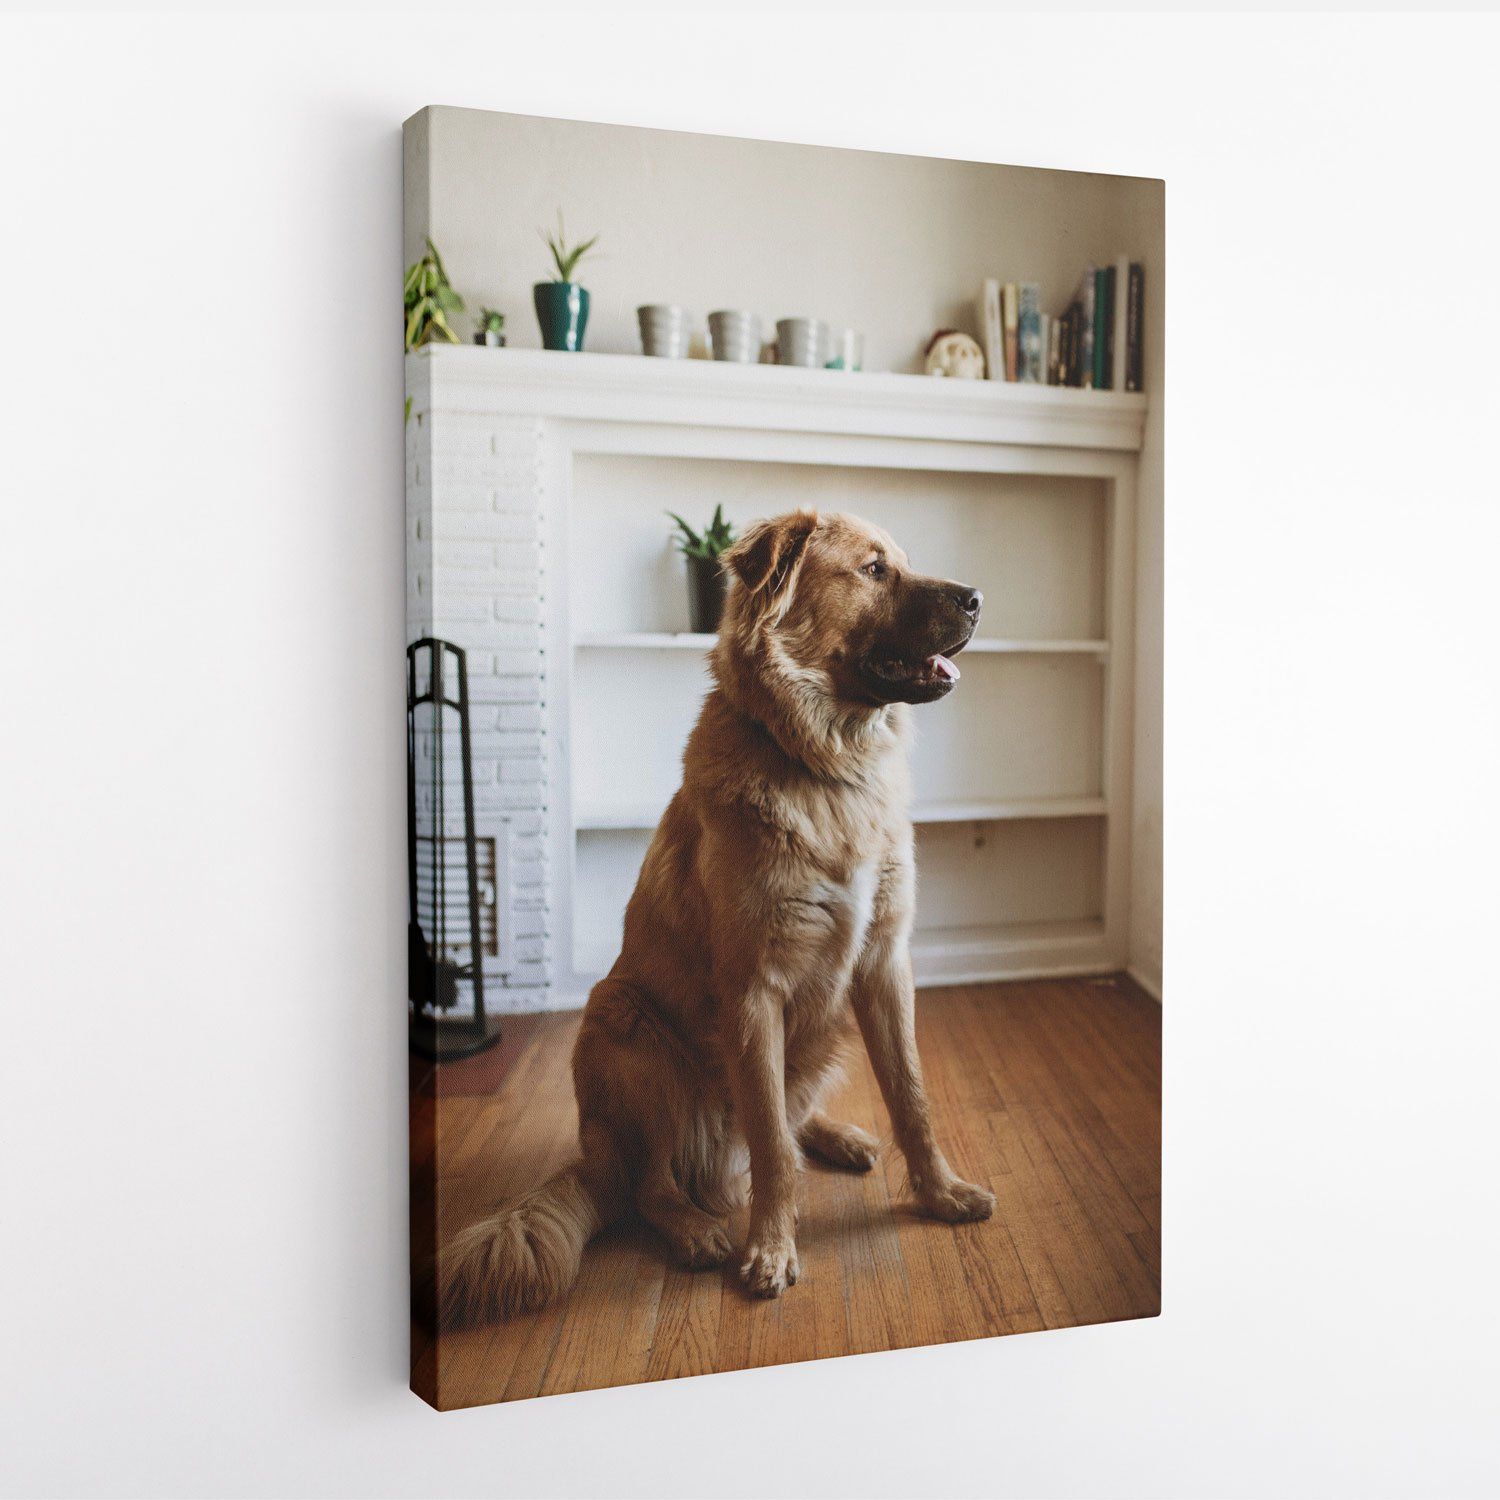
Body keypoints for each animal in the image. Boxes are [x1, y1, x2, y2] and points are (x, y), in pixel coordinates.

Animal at [438, 507, 990, 1326]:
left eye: (901, 561)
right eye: (873, 570)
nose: (979, 599)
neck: (825, 766)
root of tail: (593, 1153)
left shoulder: (884, 966)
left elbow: (912, 1100)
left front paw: (941, 1194)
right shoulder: (754, 990)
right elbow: (770, 1145)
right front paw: (771, 1250)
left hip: (815, 1040)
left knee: (788, 1122)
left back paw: (836, 1137)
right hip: (628, 1030)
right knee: (652, 1185)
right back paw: (696, 1228)